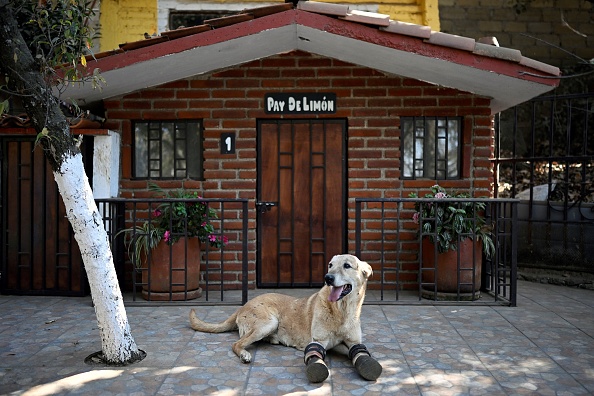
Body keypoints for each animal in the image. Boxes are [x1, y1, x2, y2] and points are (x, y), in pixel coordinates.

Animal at [190, 255, 384, 382]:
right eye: (330, 265)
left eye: (347, 265)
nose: (327, 278)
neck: (341, 311)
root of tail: (242, 307)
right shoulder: (320, 342)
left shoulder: (351, 342)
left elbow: (357, 351)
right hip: (268, 323)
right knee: (236, 344)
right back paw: (245, 354)